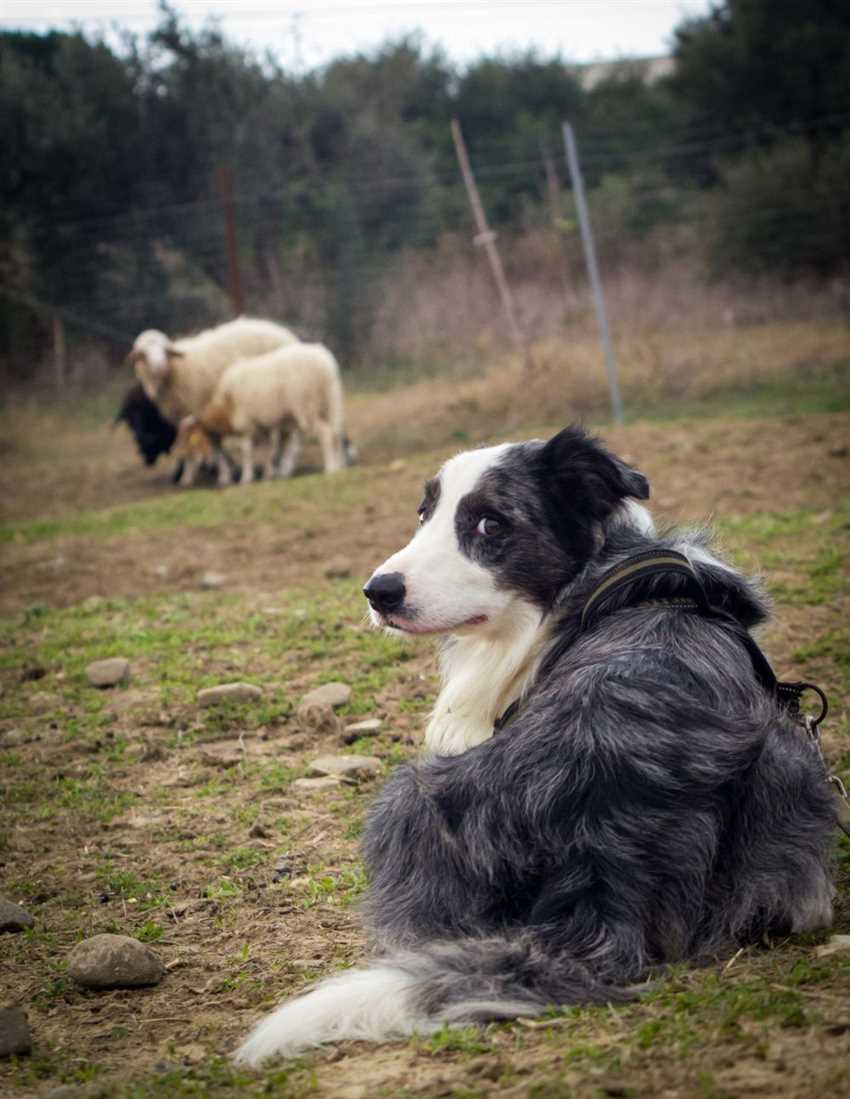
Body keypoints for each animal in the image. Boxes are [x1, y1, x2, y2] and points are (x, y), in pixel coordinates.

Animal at [173, 340, 349, 483]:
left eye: (188, 445)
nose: (183, 481)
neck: (225, 405)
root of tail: (324, 361)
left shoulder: (246, 424)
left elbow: (247, 451)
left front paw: (246, 478)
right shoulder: (262, 426)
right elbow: (267, 450)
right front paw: (268, 474)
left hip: (307, 407)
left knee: (326, 433)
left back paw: (331, 468)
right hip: (330, 403)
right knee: (336, 432)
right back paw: (340, 465)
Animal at [235, 424, 831, 1059]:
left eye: (490, 524)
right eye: (424, 513)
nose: (378, 592)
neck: (596, 579)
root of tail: (599, 861)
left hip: (406, 794)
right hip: (793, 772)